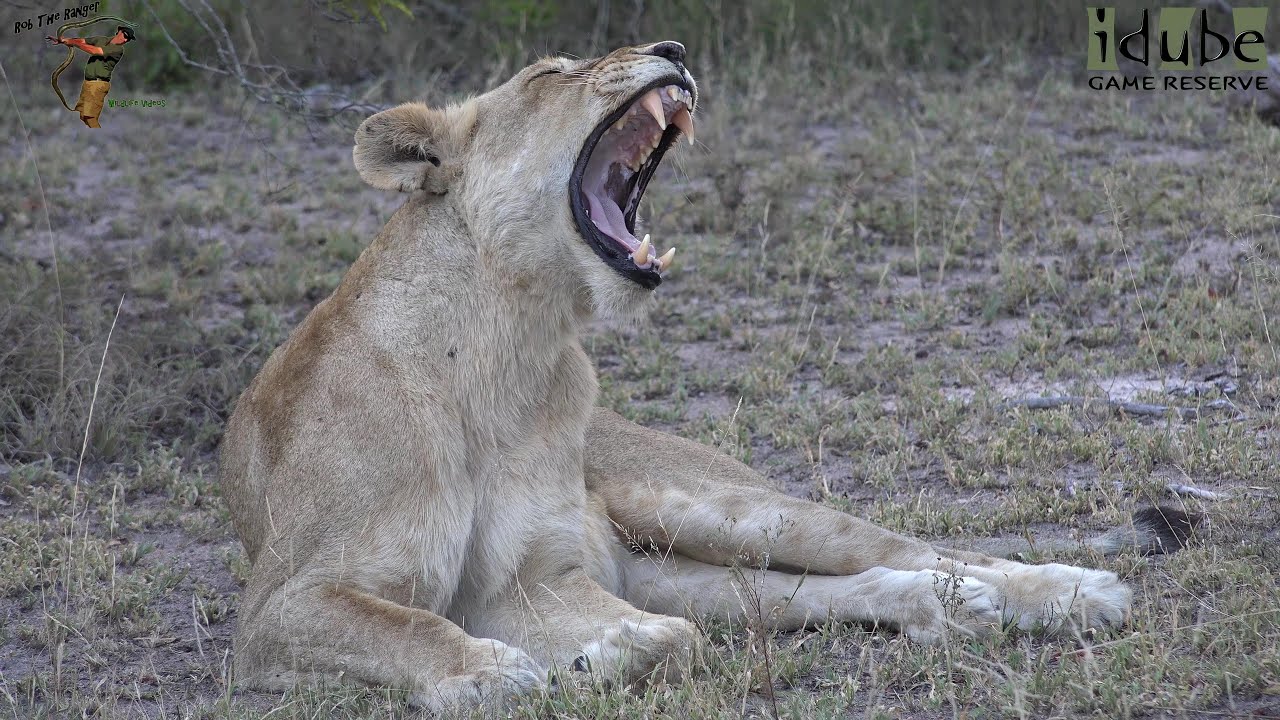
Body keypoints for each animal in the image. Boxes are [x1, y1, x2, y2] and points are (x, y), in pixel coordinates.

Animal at [220, 41, 1196, 712]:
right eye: (549, 74)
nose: (677, 50)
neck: (510, 343)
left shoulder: (532, 581)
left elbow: (675, 644)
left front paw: (593, 660)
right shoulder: (285, 601)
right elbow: (404, 624)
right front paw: (503, 671)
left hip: (719, 507)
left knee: (912, 548)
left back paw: (1067, 592)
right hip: (669, 564)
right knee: (823, 592)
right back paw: (949, 613)